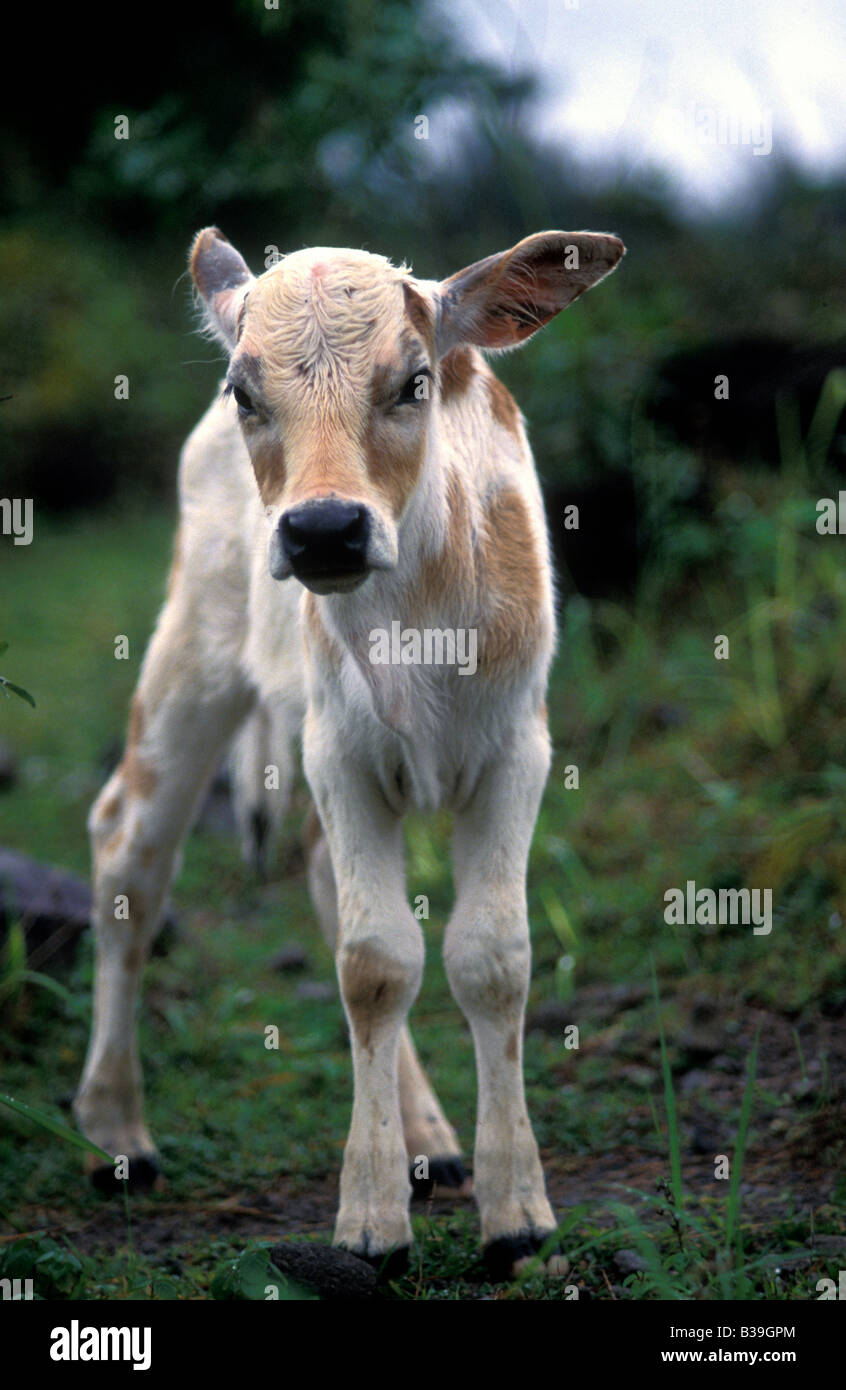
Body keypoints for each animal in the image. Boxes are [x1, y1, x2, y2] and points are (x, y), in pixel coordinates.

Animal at [75, 227, 622, 1278]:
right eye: (246, 392)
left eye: (413, 382)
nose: (323, 529)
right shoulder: (340, 752)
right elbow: (375, 965)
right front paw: (370, 1220)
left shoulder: (516, 751)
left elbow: (490, 955)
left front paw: (516, 1211)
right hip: (194, 649)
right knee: (130, 852)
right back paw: (116, 1129)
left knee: (324, 882)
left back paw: (431, 1142)